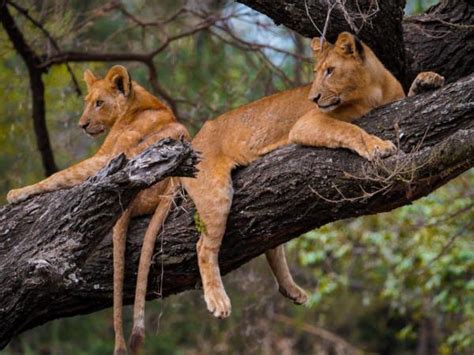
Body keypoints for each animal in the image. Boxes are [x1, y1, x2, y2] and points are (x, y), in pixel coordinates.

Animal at [6, 65, 189, 354]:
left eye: (100, 103)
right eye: (87, 102)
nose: (82, 125)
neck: (138, 104)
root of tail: (172, 183)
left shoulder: (104, 157)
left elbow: (58, 175)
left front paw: (16, 193)